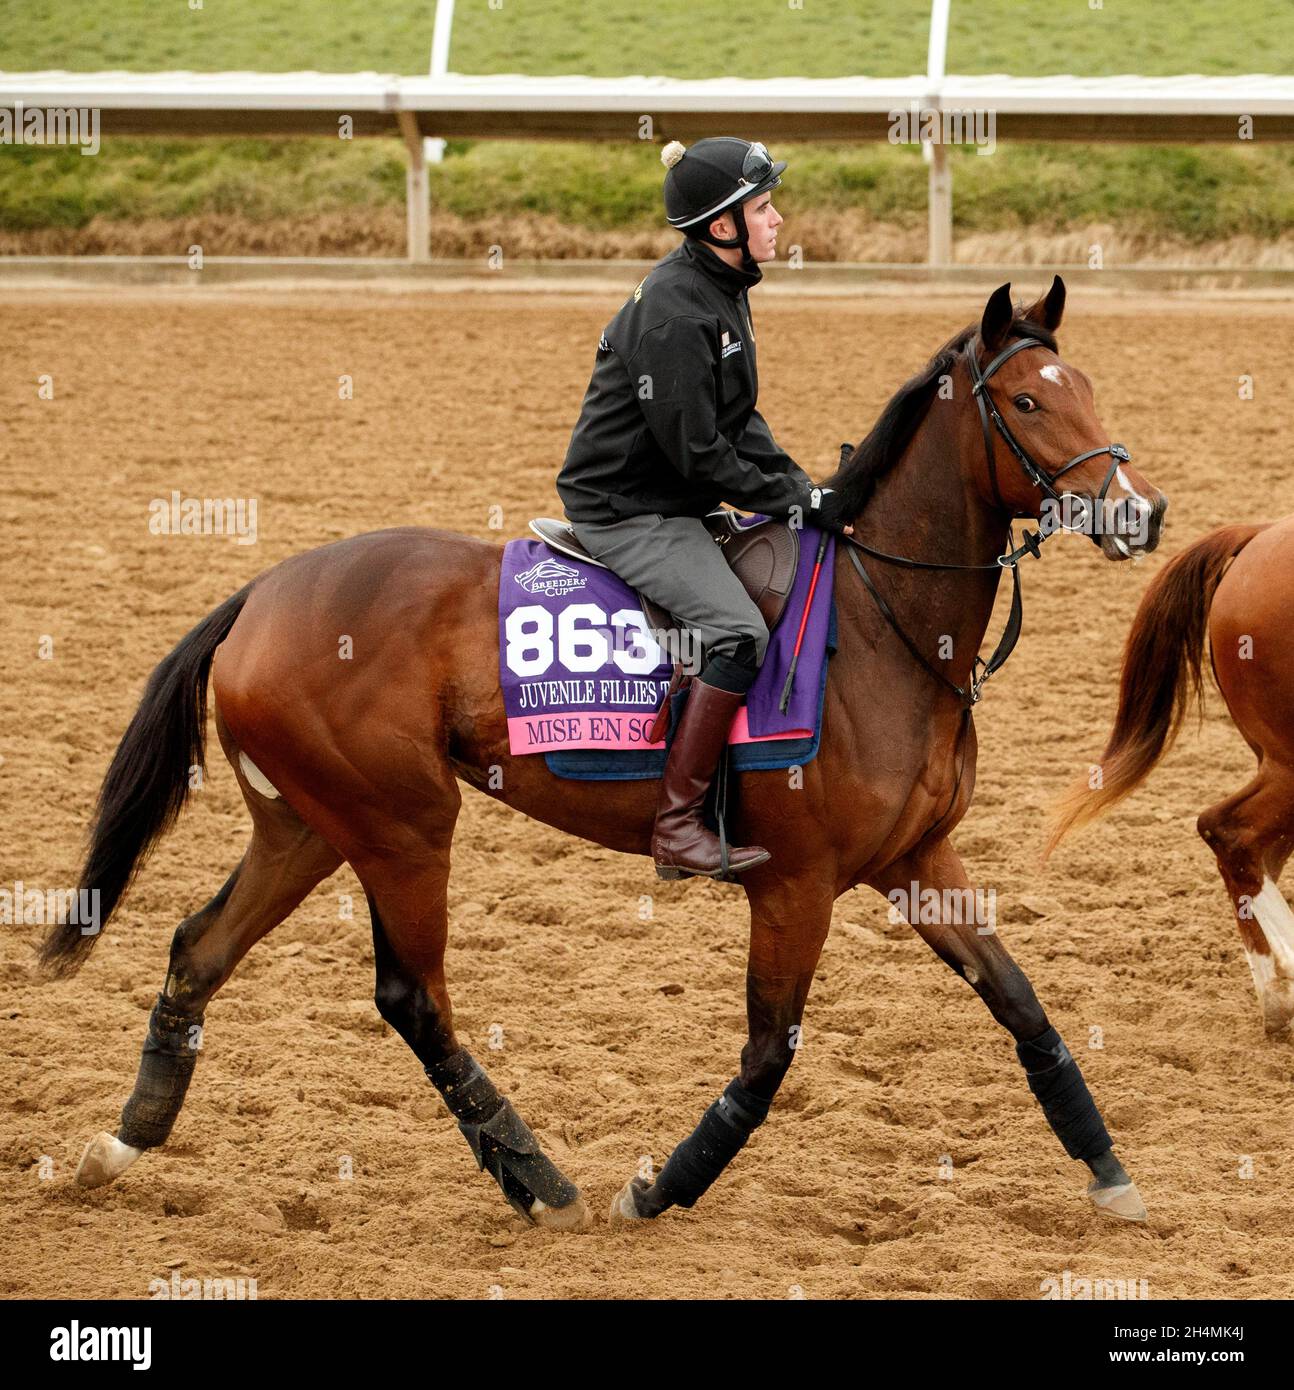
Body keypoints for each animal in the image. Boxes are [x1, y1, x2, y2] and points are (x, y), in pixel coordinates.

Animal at [45, 276, 1167, 1234]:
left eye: (1087, 387)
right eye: (1025, 400)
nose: (1140, 509)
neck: (877, 619)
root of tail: (260, 595)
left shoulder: (916, 859)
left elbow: (1022, 1007)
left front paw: (1110, 1170)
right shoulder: (796, 885)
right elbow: (767, 1057)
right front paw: (660, 1187)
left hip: (312, 829)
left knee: (200, 948)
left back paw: (123, 1142)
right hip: (404, 828)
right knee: (411, 998)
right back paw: (536, 1178)